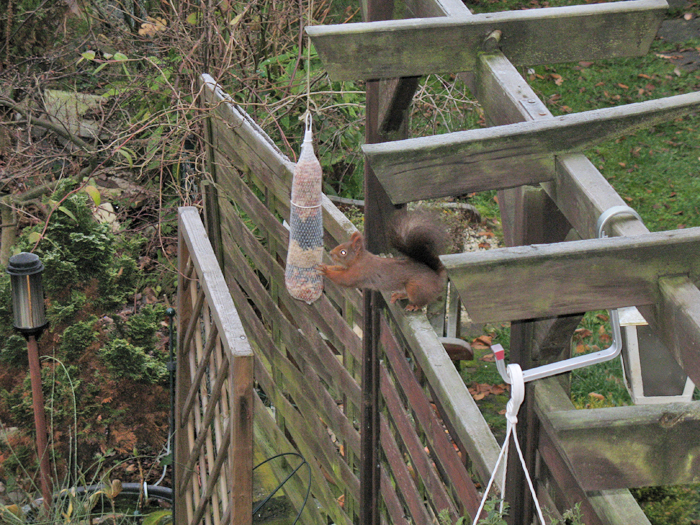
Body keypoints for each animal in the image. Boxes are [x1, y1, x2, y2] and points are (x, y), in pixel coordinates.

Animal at [318, 212, 448, 312]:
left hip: (416, 288)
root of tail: (437, 278)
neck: (359, 260)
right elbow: (338, 269)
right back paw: (398, 295)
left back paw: (414, 306)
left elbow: (343, 279)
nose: (330, 253)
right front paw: (325, 266)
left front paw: (325, 271)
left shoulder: (358, 272)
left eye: (343, 252)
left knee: (422, 301)